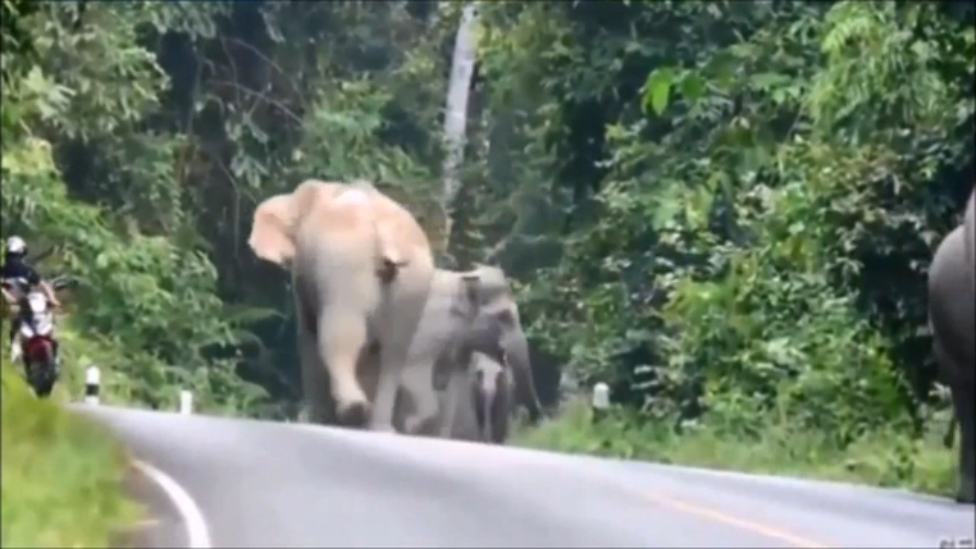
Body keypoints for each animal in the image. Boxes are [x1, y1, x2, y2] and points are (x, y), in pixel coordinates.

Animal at [248, 178, 436, 431]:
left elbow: (307, 333)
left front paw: (313, 418)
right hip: (414, 282)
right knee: (394, 352)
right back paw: (379, 427)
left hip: (345, 266)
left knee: (341, 335)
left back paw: (352, 410)